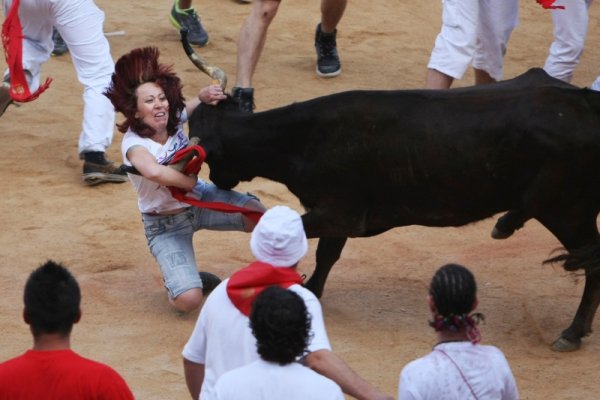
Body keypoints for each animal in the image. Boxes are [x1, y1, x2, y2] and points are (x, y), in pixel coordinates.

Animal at [190, 69, 600, 350]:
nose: (219, 182)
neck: (303, 139)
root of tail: (587, 103)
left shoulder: (338, 213)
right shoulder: (338, 218)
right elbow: (326, 255)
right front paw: (312, 291)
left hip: (566, 210)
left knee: (587, 258)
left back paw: (569, 328)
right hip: (574, 213)